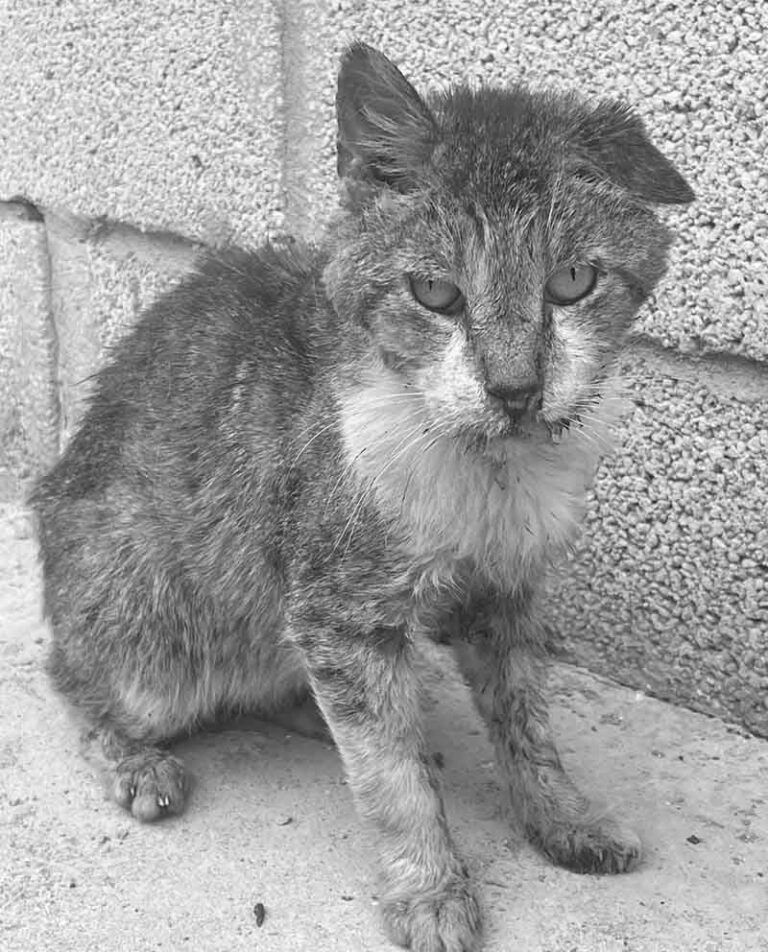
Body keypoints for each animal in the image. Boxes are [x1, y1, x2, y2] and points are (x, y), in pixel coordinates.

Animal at [30, 42, 693, 951]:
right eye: (436, 295)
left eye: (572, 280)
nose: (516, 390)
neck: (487, 472)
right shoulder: (337, 606)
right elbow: (389, 777)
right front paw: (429, 889)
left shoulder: (505, 594)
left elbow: (527, 722)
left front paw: (564, 819)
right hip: (146, 624)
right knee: (70, 674)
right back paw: (138, 758)